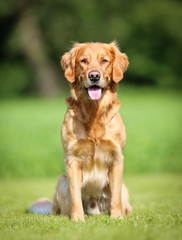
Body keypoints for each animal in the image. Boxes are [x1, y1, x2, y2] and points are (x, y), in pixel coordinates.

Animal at [52, 41, 132, 221]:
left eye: (104, 60)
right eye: (83, 61)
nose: (94, 76)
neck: (93, 111)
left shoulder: (117, 157)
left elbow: (115, 196)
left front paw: (117, 217)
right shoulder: (72, 159)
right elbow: (75, 196)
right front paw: (77, 219)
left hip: (125, 189)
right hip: (61, 183)